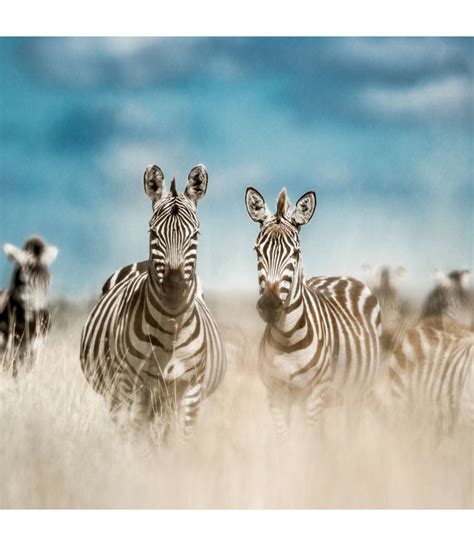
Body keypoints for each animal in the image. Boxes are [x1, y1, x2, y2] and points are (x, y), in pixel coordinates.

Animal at [0, 236, 58, 376]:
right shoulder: (8, 349)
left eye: (48, 281)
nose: (43, 320)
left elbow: (30, 372)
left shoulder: (36, 347)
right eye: (23, 281)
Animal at [80, 164, 227, 440]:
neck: (170, 330)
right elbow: (137, 436)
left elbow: (181, 439)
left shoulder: (190, 388)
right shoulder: (132, 384)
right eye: (153, 232)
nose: (174, 286)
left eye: (195, 234)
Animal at [244, 185, 382, 436]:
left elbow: (308, 441)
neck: (287, 340)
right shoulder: (276, 396)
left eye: (296, 253)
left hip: (357, 393)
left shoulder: (314, 396)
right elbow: (285, 439)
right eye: (257, 251)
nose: (269, 305)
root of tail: (340, 276)